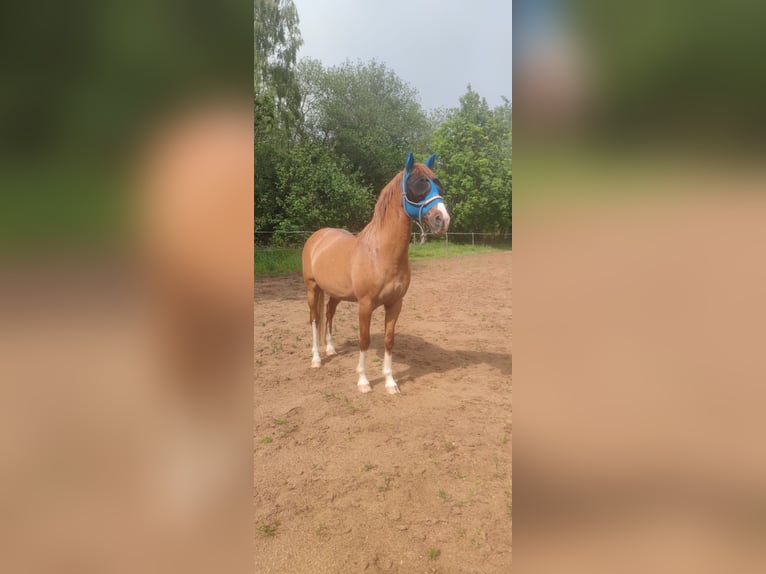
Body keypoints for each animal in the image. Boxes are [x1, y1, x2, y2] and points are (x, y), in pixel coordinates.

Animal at [304, 153, 452, 396]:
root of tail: (317, 236)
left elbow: (389, 341)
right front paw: (363, 382)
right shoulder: (365, 305)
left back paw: (331, 349)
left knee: (329, 313)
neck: (380, 253)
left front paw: (391, 383)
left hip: (335, 294)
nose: (443, 220)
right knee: (315, 319)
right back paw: (316, 359)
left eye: (438, 185)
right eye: (417, 184)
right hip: (312, 288)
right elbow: (364, 340)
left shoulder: (395, 304)